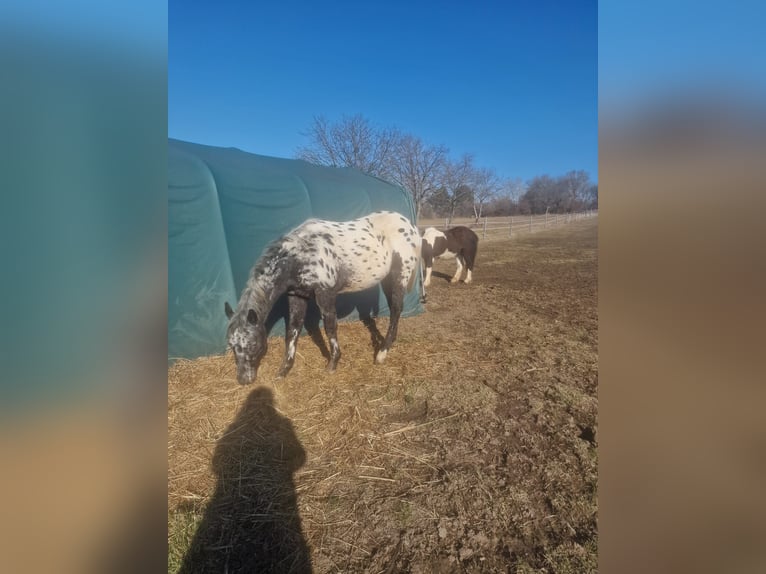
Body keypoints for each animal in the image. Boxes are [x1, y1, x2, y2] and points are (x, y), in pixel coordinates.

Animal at [225, 213, 424, 388]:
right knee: (393, 309)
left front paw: (332, 364)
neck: (300, 255)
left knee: (396, 309)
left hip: (399, 276)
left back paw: (381, 353)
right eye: (232, 346)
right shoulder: (297, 296)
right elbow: (293, 330)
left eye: (252, 344)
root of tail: (409, 225)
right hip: (386, 279)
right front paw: (283, 371)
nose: (243, 380)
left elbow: (329, 328)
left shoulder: (325, 294)